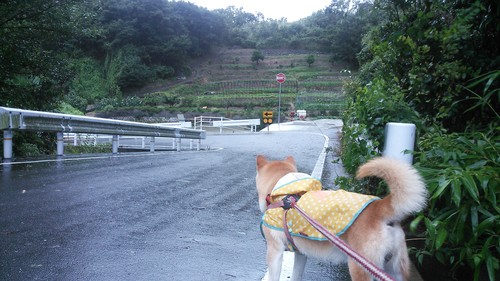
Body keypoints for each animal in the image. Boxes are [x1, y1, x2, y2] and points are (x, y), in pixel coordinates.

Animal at [258, 155, 426, 280]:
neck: (286, 196)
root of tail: (378, 206)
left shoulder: (275, 251)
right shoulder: (300, 253)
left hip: (360, 268)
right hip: (394, 269)